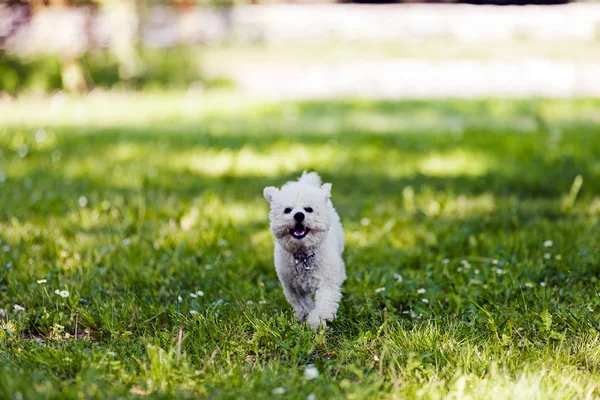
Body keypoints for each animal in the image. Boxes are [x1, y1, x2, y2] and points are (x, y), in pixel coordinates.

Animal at [264, 170, 346, 330]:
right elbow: (304, 306)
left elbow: (323, 306)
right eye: (287, 210)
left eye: (308, 209)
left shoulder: (327, 284)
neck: (303, 255)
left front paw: (316, 323)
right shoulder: (293, 289)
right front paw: (307, 319)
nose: (299, 215)